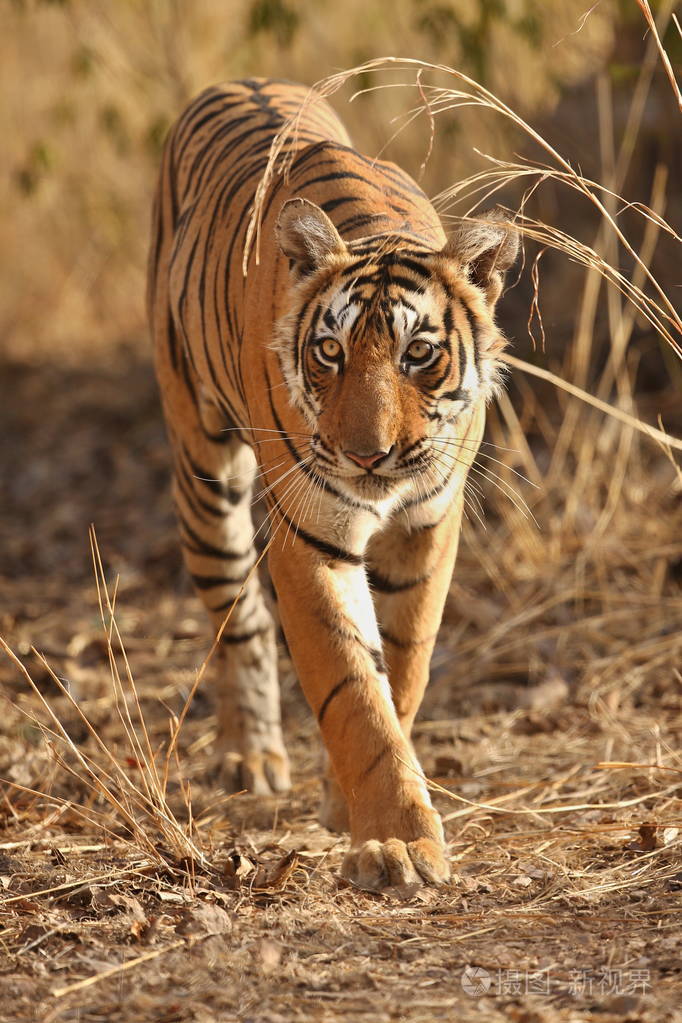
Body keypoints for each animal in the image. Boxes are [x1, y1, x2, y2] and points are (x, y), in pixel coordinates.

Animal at [148, 78, 518, 891]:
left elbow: (400, 671)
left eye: (419, 354)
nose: (367, 456)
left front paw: (349, 808)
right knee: (239, 619)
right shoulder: (310, 538)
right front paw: (396, 843)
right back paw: (251, 756)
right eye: (329, 351)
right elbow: (354, 692)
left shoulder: (427, 529)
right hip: (205, 479)